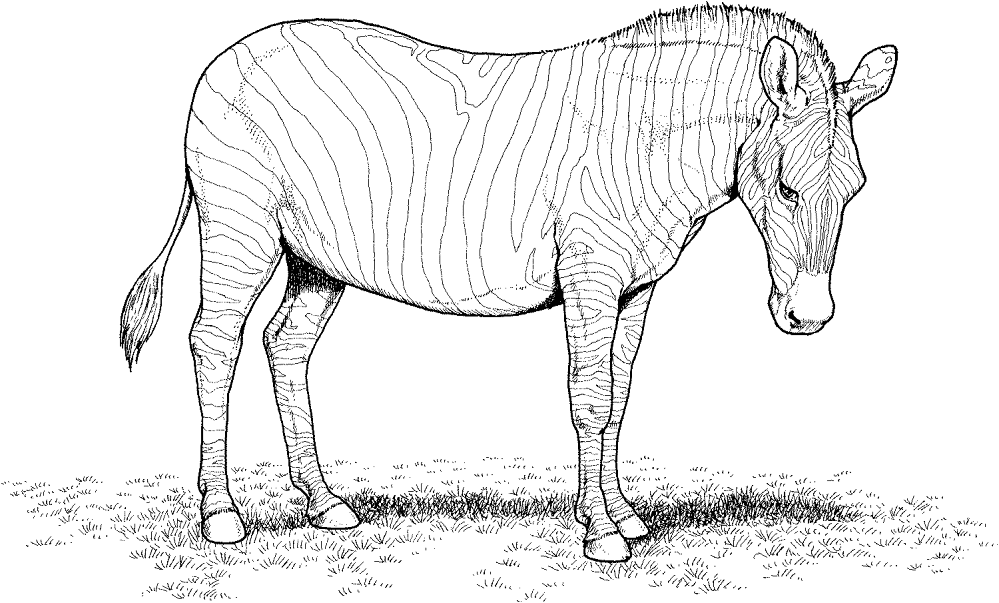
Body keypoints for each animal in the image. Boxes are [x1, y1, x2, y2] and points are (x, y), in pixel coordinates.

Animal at [120, 5, 896, 562]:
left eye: (855, 191)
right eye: (787, 187)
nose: (809, 316)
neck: (644, 140)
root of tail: (226, 57)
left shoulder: (635, 287)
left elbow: (618, 397)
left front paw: (621, 514)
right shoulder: (590, 274)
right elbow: (588, 398)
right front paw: (600, 535)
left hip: (315, 258)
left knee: (284, 345)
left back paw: (325, 504)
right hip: (240, 229)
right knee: (214, 343)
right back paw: (221, 515)